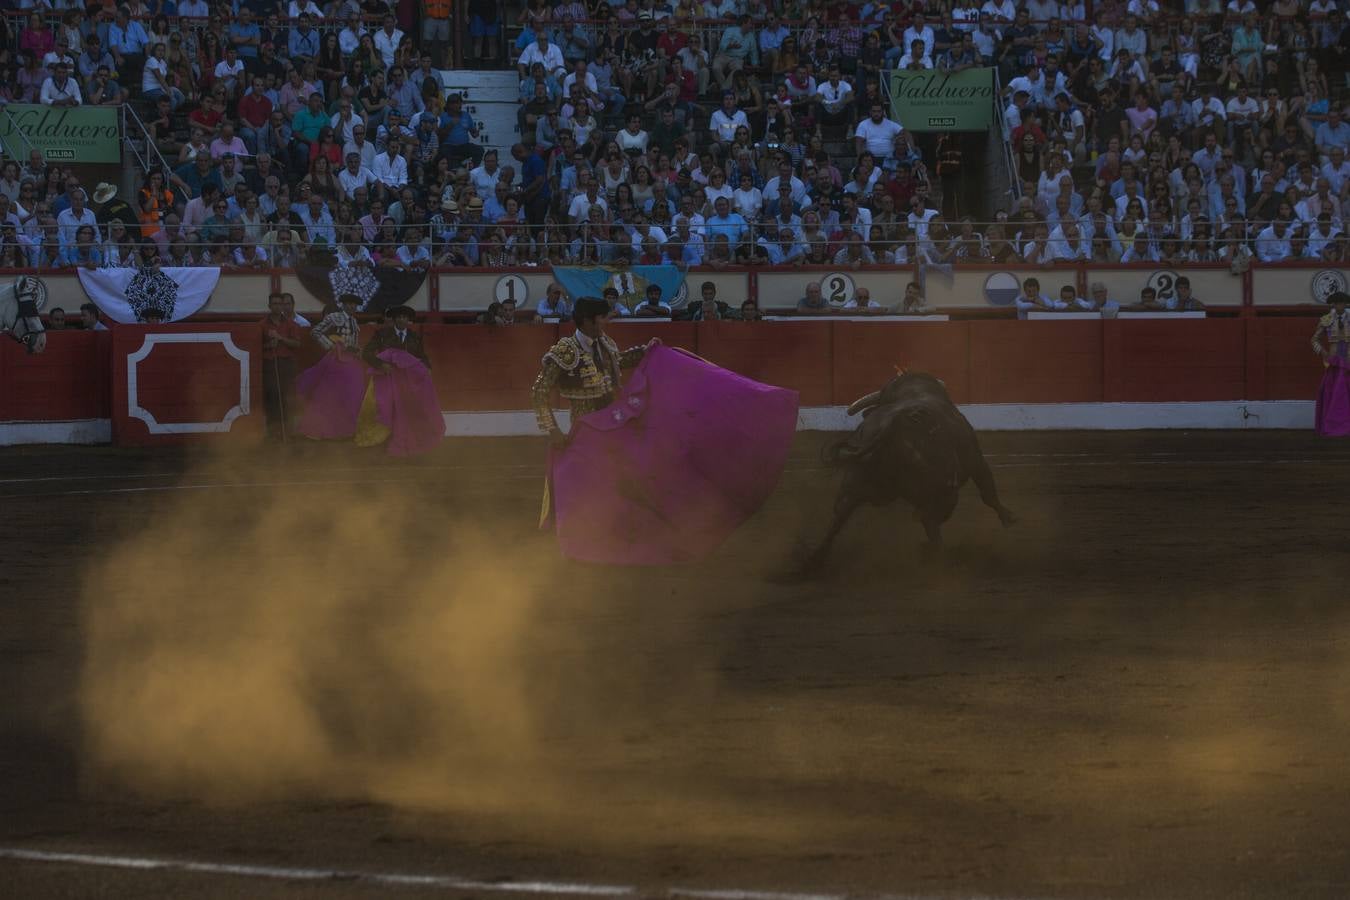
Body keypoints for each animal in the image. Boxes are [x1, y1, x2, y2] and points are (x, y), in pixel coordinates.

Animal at [799, 372, 1015, 569]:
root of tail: (891, 426)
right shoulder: (977, 462)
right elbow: (988, 493)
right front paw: (1009, 518)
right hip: (938, 489)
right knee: (931, 519)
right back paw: (937, 556)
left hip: (852, 485)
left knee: (837, 520)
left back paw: (812, 561)